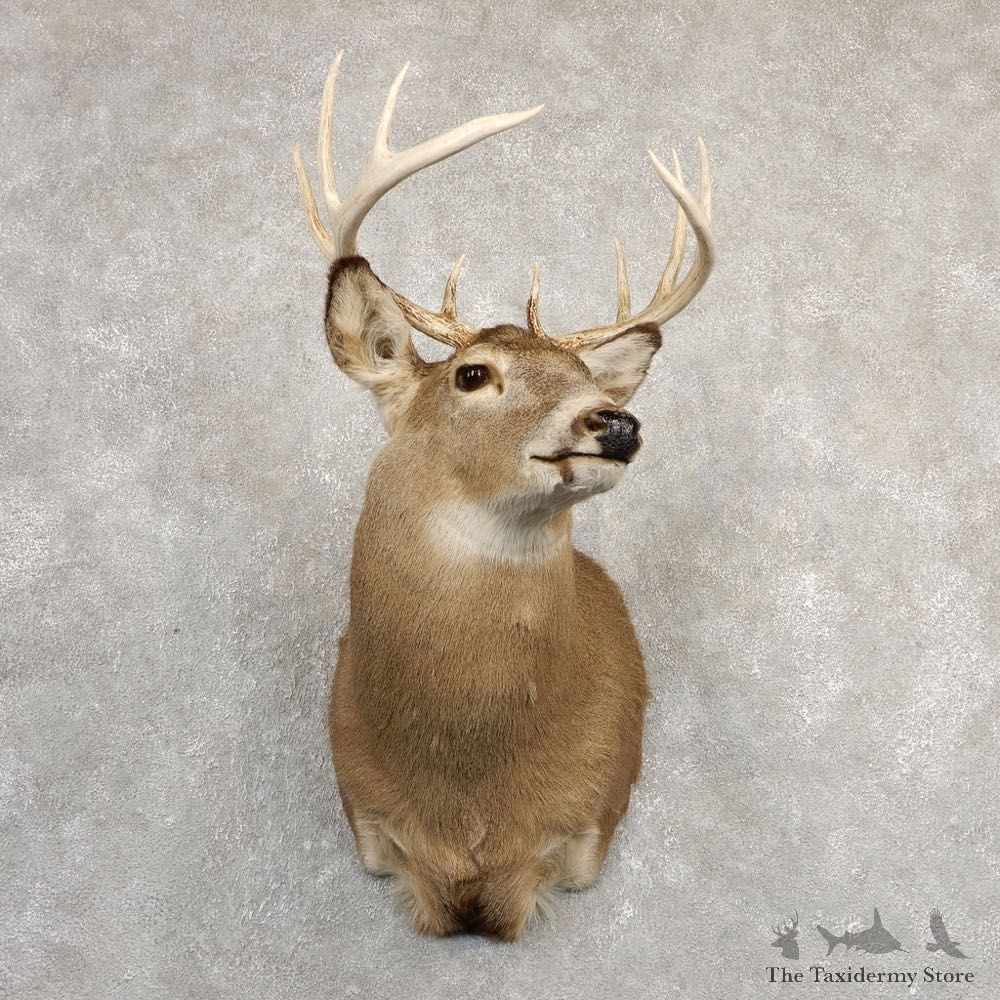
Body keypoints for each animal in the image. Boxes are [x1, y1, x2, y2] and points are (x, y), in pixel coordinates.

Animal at [292, 52, 716, 941]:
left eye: (590, 375)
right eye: (472, 373)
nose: (615, 421)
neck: (472, 796)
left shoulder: (588, 824)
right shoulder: (368, 817)